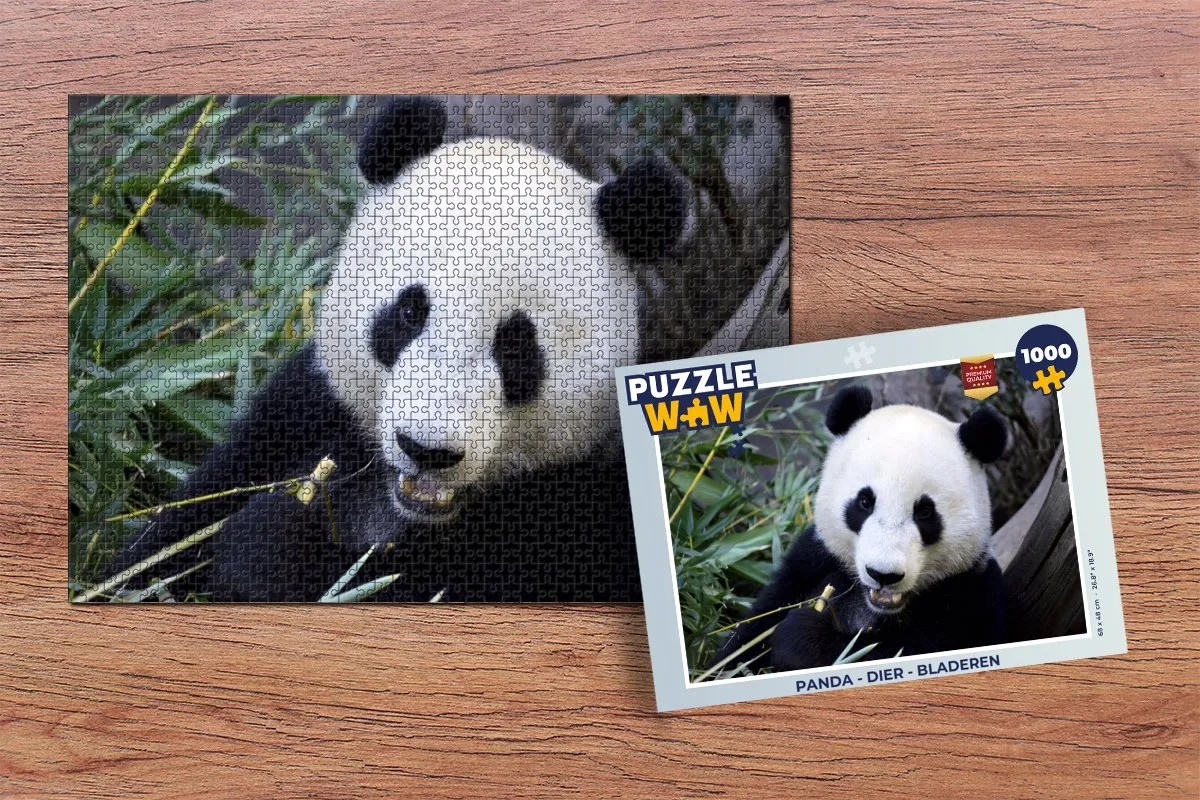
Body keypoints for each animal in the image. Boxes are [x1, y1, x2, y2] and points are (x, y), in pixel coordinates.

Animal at [111, 97, 688, 602]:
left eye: (516, 346)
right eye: (410, 313)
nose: (427, 450)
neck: (403, 503)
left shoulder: (576, 510)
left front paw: (271, 543)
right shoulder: (309, 413)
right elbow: (180, 529)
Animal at [713, 385, 1009, 673]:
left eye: (925, 512)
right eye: (865, 502)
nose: (883, 574)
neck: (875, 606)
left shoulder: (969, 598)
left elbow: (887, 651)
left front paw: (800, 635)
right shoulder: (812, 562)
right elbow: (749, 636)